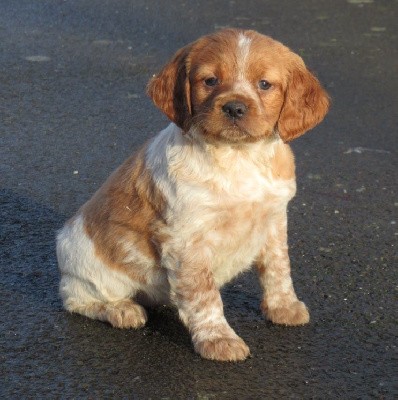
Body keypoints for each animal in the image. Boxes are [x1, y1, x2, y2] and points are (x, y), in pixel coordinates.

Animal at [56, 27, 330, 360]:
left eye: (264, 84)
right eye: (210, 80)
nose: (234, 107)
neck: (238, 156)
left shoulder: (275, 218)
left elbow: (278, 267)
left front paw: (284, 308)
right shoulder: (187, 239)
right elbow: (204, 293)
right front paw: (218, 339)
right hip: (94, 272)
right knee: (75, 298)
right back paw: (120, 310)